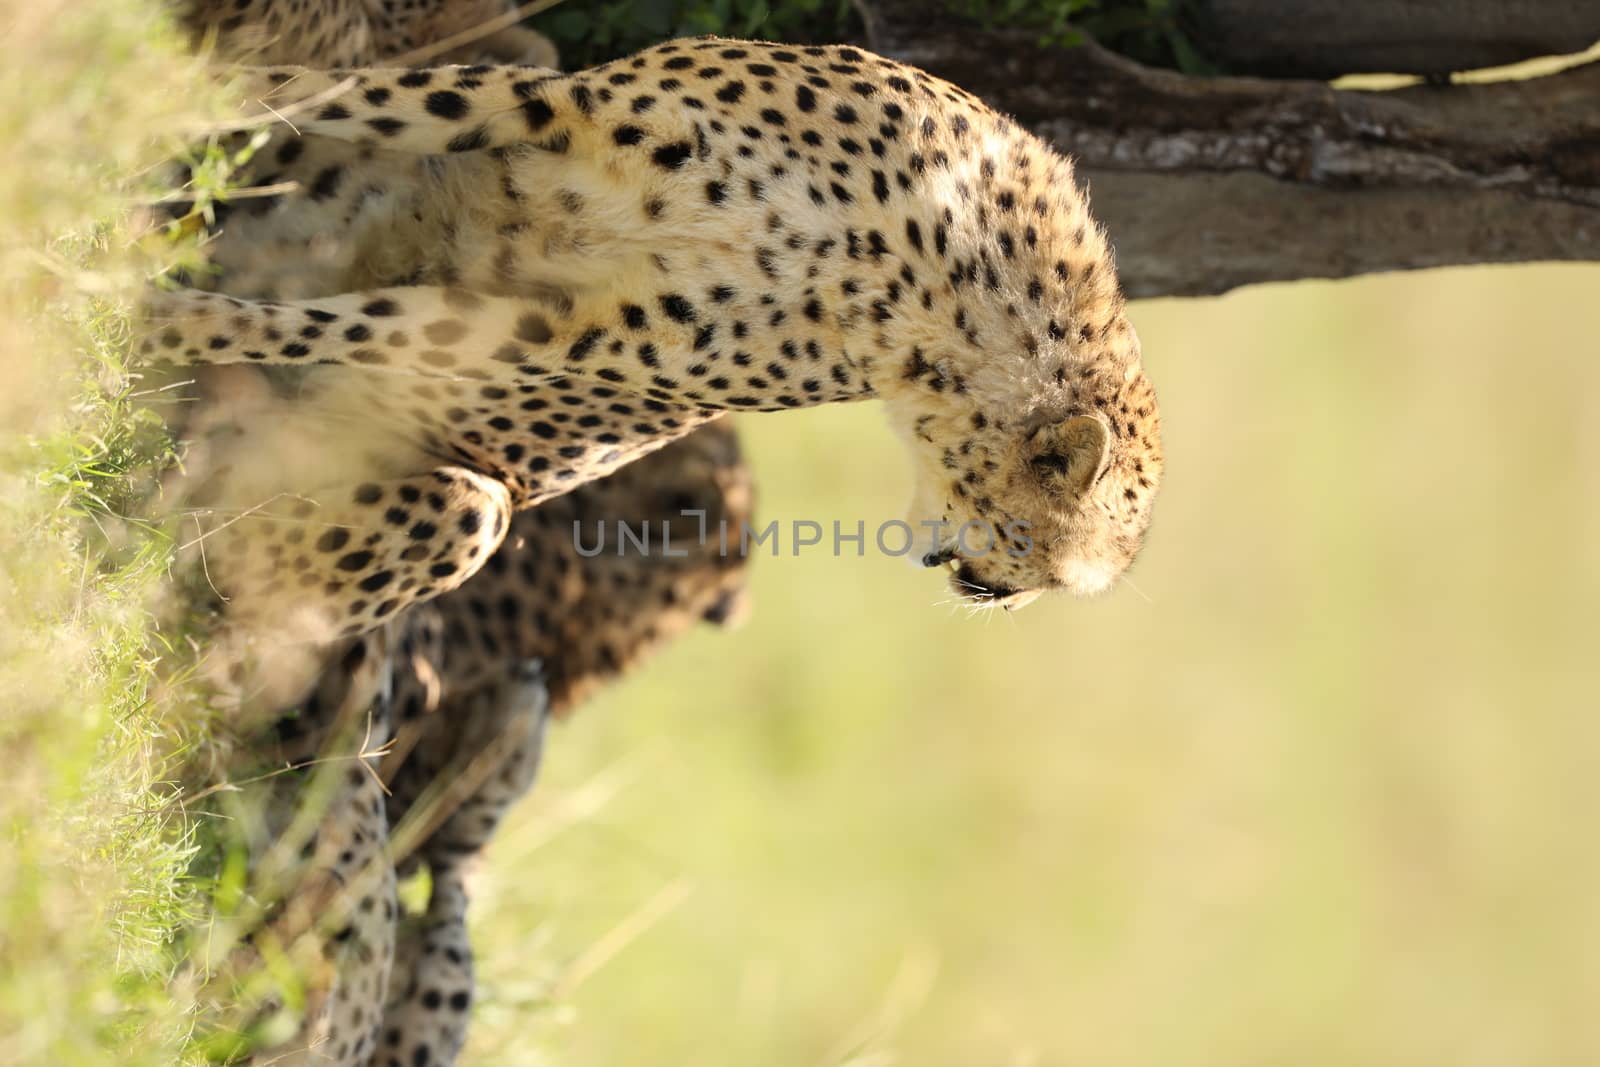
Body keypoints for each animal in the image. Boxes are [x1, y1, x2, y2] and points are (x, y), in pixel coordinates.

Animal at [147, 37, 1164, 643]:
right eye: (1023, 570)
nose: (976, 587)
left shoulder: (536, 330)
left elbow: (320, 326)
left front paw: (154, 318)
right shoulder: (551, 101)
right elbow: (292, 91)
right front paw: (141, 96)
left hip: (464, 509)